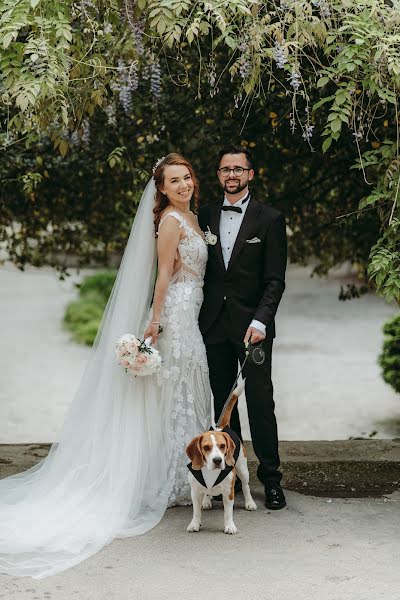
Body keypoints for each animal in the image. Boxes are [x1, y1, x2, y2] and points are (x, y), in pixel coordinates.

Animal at [185, 382, 256, 532]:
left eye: (222, 446)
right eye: (206, 447)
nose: (217, 460)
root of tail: (222, 427)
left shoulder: (228, 492)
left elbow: (228, 513)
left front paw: (229, 526)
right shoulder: (195, 492)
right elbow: (196, 511)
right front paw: (194, 523)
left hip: (242, 469)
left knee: (246, 486)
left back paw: (250, 502)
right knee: (207, 491)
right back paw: (206, 501)